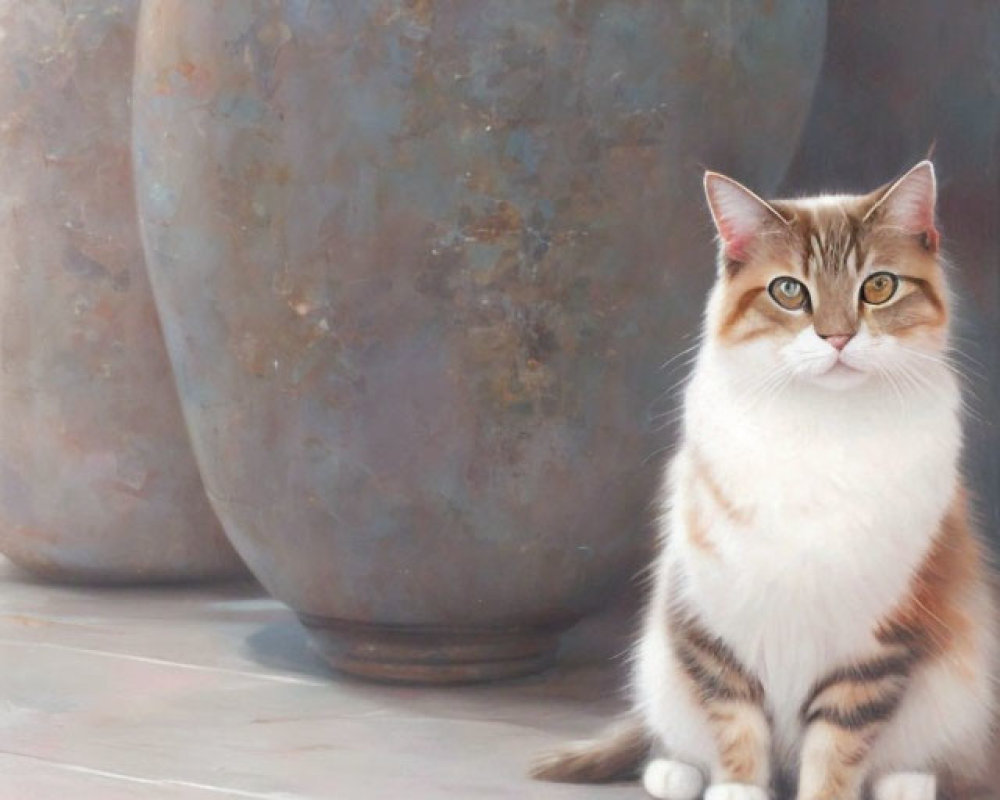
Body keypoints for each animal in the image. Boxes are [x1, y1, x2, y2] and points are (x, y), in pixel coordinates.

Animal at [536, 159, 996, 796]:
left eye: (878, 286)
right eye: (789, 291)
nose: (837, 336)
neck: (822, 430)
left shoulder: (877, 638)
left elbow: (838, 743)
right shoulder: (712, 612)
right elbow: (733, 715)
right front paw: (737, 788)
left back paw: (906, 782)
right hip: (661, 662)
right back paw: (675, 773)